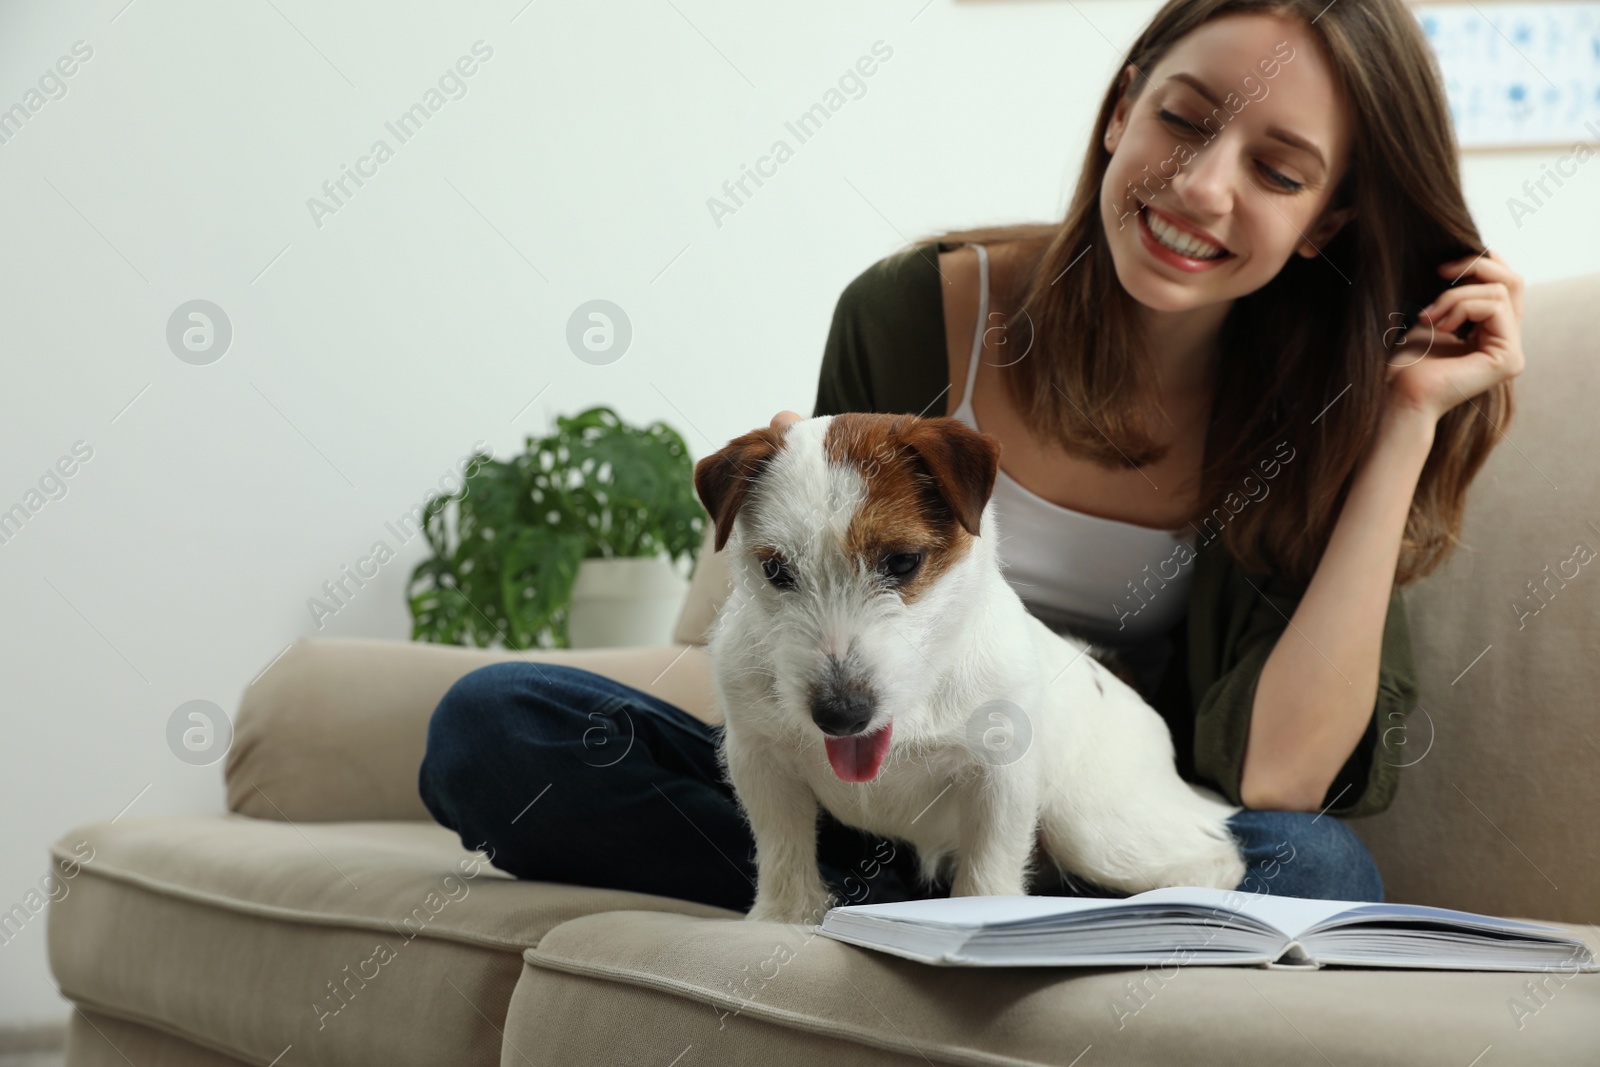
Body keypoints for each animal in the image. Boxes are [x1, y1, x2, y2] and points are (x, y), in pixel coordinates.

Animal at [694, 412, 1241, 927]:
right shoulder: (760, 760)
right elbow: (783, 847)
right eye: (776, 571)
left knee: (1216, 858)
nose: (841, 714)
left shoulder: (1002, 779)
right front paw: (783, 918)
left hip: (1094, 828)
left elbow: (989, 868)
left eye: (902, 562)